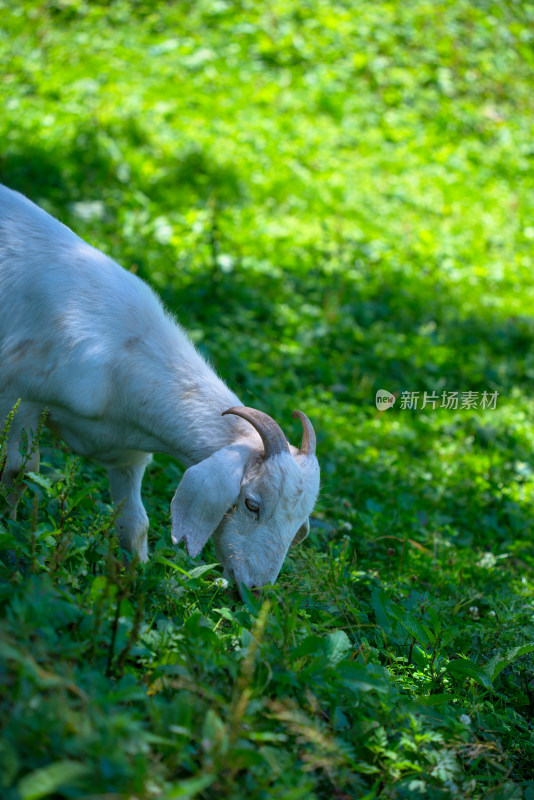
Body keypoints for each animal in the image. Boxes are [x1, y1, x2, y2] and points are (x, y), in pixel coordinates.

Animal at [0, 183, 320, 592]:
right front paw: (10, 535)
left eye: (298, 526)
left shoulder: (127, 454)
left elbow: (134, 523)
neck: (123, 356)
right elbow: (19, 472)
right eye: (252, 504)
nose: (256, 589)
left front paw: (133, 585)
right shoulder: (19, 397)